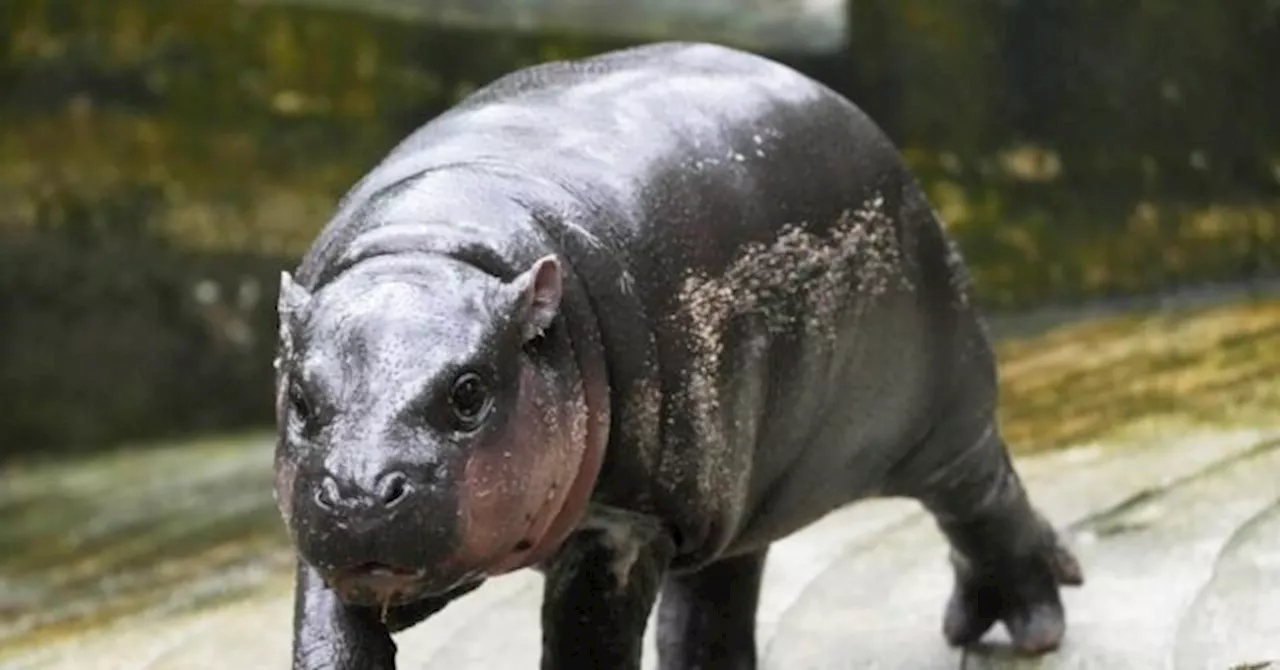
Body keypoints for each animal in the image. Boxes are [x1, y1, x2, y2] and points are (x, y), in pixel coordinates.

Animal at [275, 40, 1085, 670]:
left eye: (469, 392)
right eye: (302, 400)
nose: (358, 491)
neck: (432, 246)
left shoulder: (626, 523)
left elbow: (588, 643)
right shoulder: (334, 553)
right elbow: (331, 640)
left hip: (938, 413)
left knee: (983, 495)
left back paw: (1031, 622)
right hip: (741, 490)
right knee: (716, 600)